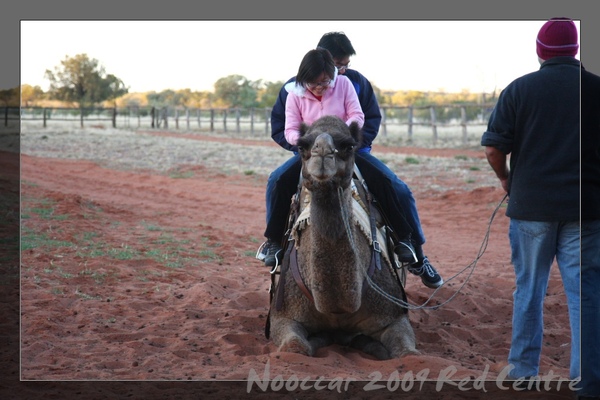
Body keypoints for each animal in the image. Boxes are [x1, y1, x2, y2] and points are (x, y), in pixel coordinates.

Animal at [268, 115, 418, 360]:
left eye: (348, 146)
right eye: (301, 146)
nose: (322, 152)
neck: (336, 307)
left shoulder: (393, 316)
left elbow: (407, 354)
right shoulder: (283, 315)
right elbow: (296, 347)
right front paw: (320, 339)